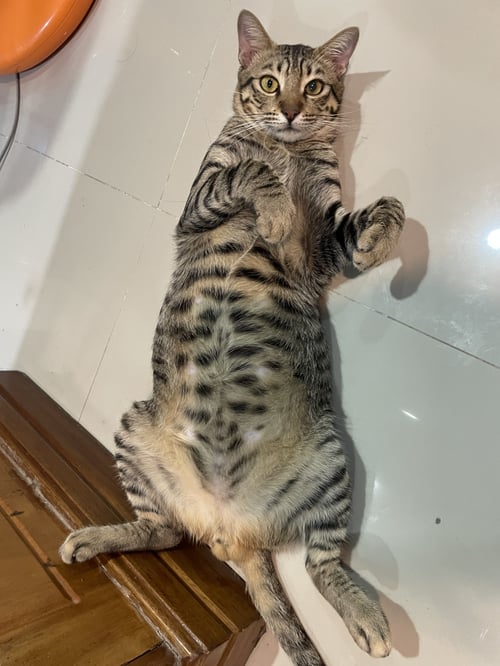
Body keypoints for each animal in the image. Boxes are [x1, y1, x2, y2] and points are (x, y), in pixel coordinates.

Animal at [60, 10, 404, 666]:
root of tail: (230, 528)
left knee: (321, 564)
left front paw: (382, 236)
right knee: (163, 529)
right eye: (269, 83)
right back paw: (95, 538)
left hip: (330, 465)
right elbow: (251, 171)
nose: (290, 112)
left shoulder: (323, 245)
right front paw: (272, 207)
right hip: (136, 430)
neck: (286, 148)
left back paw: (365, 614)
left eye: (314, 87)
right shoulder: (201, 197)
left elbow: (384, 209)